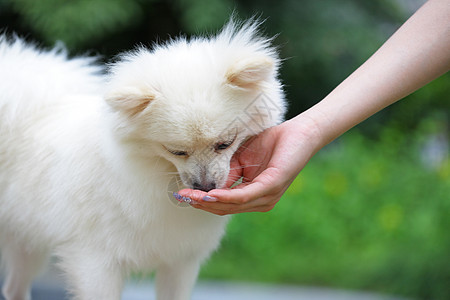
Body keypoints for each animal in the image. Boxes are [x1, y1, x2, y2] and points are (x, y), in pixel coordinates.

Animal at [0, 19, 284, 298]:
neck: (151, 172)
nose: (204, 187)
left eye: (225, 144)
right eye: (176, 151)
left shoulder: (180, 262)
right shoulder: (94, 262)